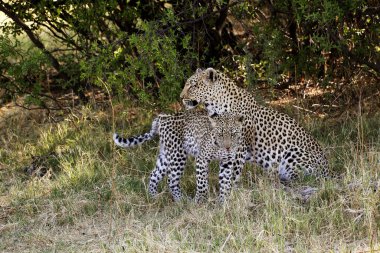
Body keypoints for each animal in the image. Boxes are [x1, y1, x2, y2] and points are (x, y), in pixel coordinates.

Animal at [114, 111, 245, 203]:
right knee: (171, 180)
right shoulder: (202, 159)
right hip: (178, 154)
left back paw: (155, 197)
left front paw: (223, 202)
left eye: (233, 134)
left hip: (166, 155)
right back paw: (183, 201)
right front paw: (199, 202)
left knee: (154, 175)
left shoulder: (227, 162)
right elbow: (202, 184)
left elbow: (225, 183)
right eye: (220, 134)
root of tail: (163, 117)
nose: (227, 148)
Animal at [180, 68, 328, 181]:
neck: (214, 106)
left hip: (293, 153)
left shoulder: (239, 146)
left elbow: (232, 172)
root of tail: (328, 171)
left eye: (193, 86)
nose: (181, 97)